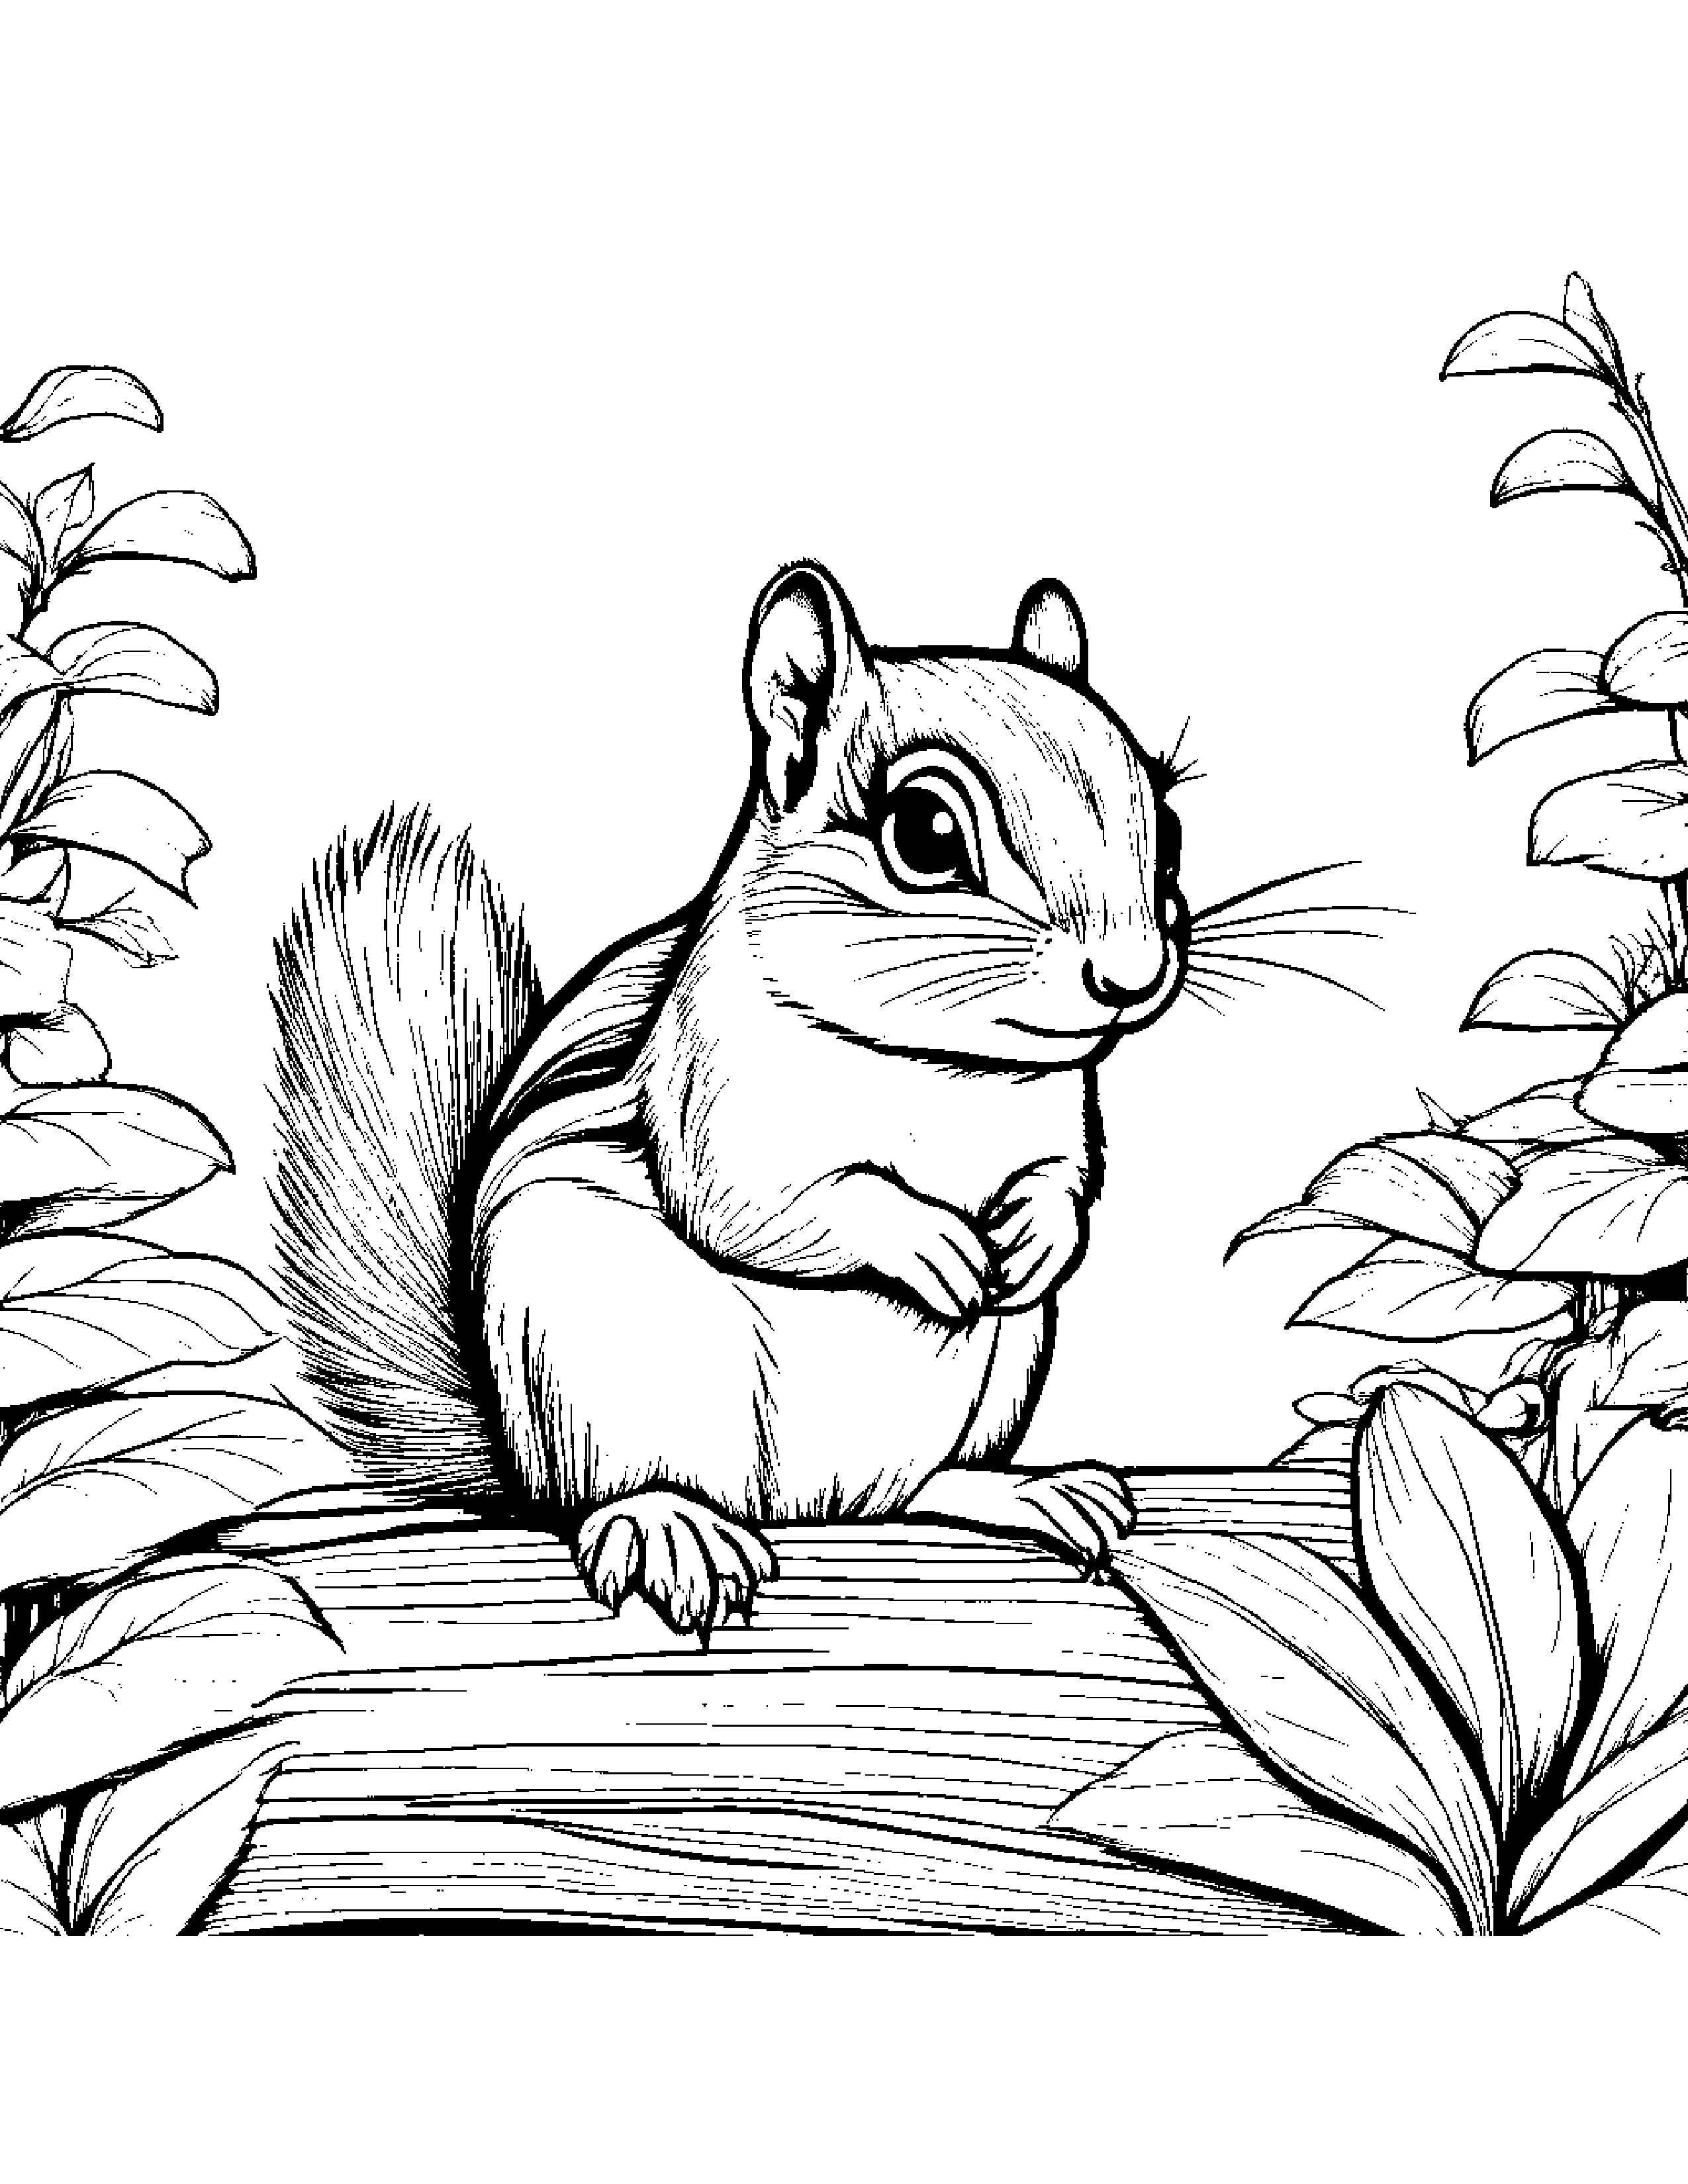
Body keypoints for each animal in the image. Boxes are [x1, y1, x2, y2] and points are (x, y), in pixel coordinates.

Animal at [269, 563, 1188, 1635]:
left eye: (1167, 827)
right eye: (925, 835)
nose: (1128, 976)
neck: (947, 1068)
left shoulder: (1057, 1119)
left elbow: (1064, 1183)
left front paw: (1038, 1235)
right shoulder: (719, 1101)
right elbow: (761, 1205)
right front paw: (929, 1241)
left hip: (990, 1380)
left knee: (908, 1490)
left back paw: (1018, 1491)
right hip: (603, 1361)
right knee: (604, 1491)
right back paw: (669, 1525)